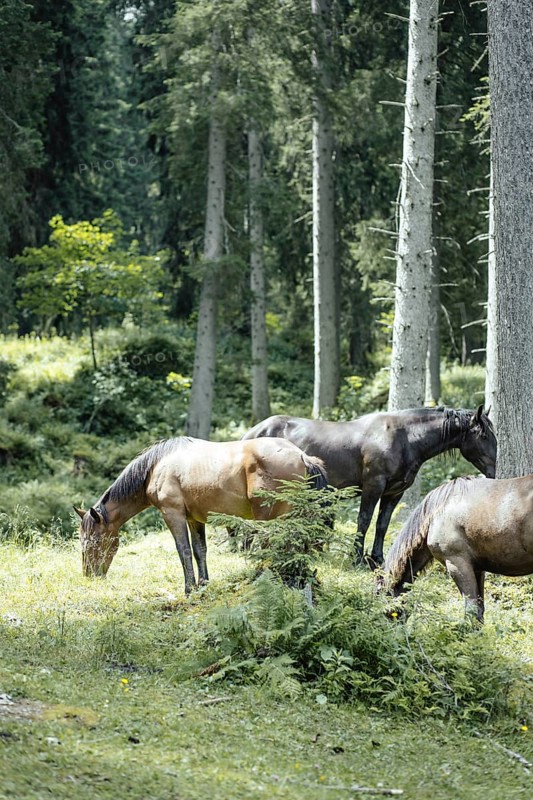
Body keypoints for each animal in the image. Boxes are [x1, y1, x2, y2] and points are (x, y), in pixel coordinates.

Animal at [73, 436, 328, 595]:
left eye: (93, 542)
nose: (89, 575)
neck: (157, 466)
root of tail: (302, 456)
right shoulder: (194, 518)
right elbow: (199, 551)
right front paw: (203, 585)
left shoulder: (173, 514)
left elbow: (184, 550)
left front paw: (189, 589)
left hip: (270, 518)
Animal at [242, 406, 496, 567]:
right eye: (483, 435)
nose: (494, 472)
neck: (404, 438)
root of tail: (254, 431)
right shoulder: (373, 486)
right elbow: (364, 521)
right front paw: (356, 559)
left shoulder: (394, 492)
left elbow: (382, 524)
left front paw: (377, 559)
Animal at [377, 475, 533, 622]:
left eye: (379, 595)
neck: (435, 513)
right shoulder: (477, 568)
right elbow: (480, 610)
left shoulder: (457, 564)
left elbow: (471, 610)